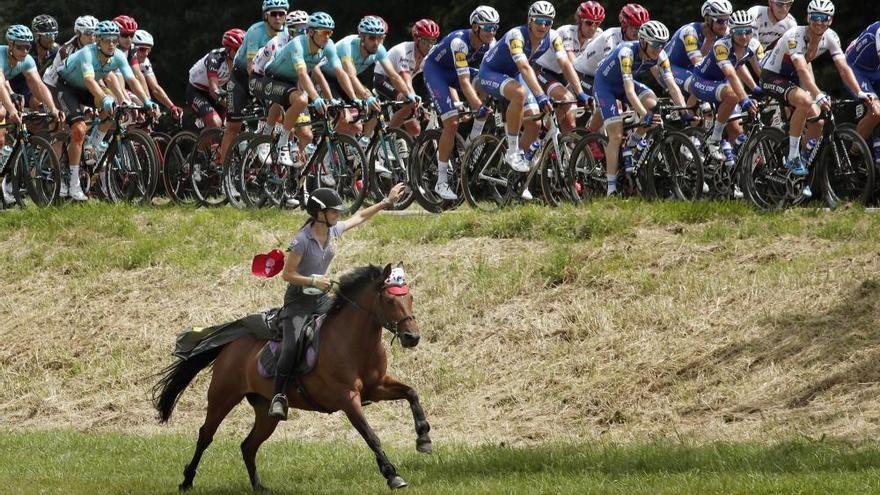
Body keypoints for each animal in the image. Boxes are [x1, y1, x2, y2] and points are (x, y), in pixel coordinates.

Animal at [153, 264, 432, 492]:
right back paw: (187, 480)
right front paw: (393, 475)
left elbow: (411, 392)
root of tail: (231, 344)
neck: (356, 342)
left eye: (410, 297)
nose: (412, 337)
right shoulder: (347, 398)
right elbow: (371, 435)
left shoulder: (376, 387)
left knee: (248, 446)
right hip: (223, 397)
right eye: (389, 300)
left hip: (266, 412)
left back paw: (259, 486)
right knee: (205, 435)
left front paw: (424, 439)